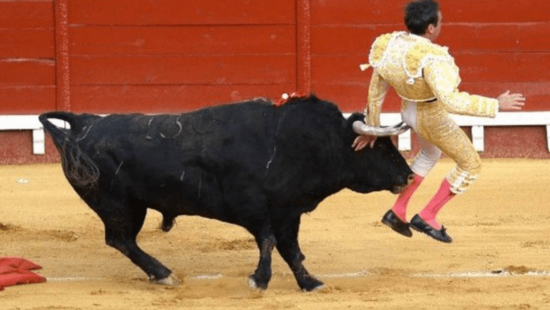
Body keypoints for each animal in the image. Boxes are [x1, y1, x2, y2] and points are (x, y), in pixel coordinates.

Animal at [40, 94, 414, 290]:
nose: (409, 175)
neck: (296, 142)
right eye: (381, 148)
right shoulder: (255, 209)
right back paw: (163, 274)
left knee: (122, 241)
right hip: (117, 204)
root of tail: (85, 123)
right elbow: (269, 242)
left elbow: (291, 250)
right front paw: (259, 280)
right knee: (120, 240)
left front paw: (310, 282)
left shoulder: (287, 212)